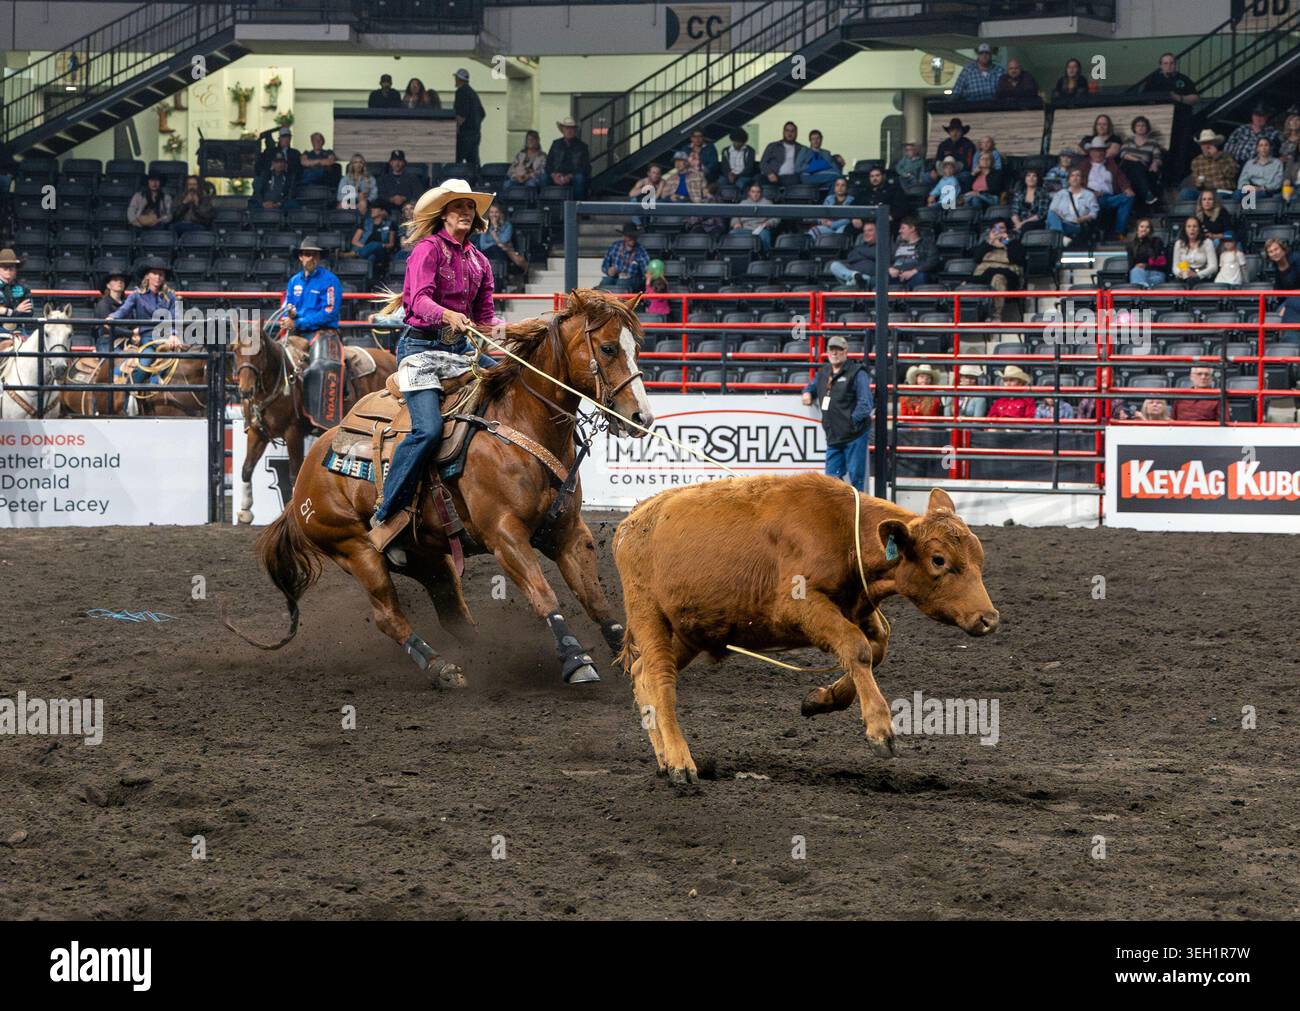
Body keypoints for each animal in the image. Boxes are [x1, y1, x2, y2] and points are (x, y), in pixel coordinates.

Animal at [613, 475, 999, 786]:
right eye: (938, 559)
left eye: (979, 557)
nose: (989, 618)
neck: (844, 533)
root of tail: (633, 520)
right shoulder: (798, 605)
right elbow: (856, 646)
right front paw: (880, 730)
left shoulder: (855, 607)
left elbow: (873, 648)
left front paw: (821, 699)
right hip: (649, 614)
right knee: (661, 679)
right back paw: (681, 762)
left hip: (690, 630)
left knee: (643, 674)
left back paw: (664, 758)